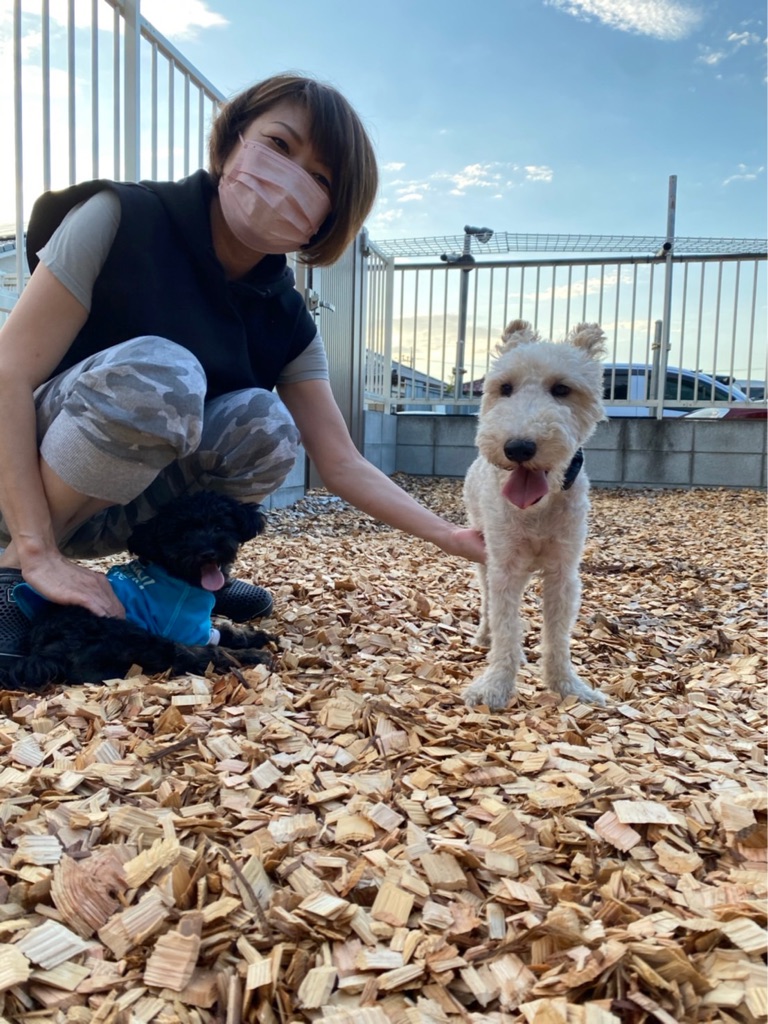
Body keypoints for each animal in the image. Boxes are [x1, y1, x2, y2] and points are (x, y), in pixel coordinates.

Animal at [5, 492, 275, 689]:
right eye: (182, 535)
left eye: (219, 526)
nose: (207, 552)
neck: (177, 574)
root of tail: (44, 651)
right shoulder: (187, 627)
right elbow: (214, 642)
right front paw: (252, 647)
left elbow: (225, 630)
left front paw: (256, 635)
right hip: (132, 637)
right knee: (192, 656)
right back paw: (253, 658)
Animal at [462, 319, 607, 710]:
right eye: (504, 388)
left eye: (562, 389)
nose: (518, 447)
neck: (538, 509)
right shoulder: (504, 565)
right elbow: (505, 625)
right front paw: (495, 685)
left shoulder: (563, 572)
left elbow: (557, 635)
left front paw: (568, 686)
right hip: (484, 553)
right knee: (488, 602)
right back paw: (484, 635)